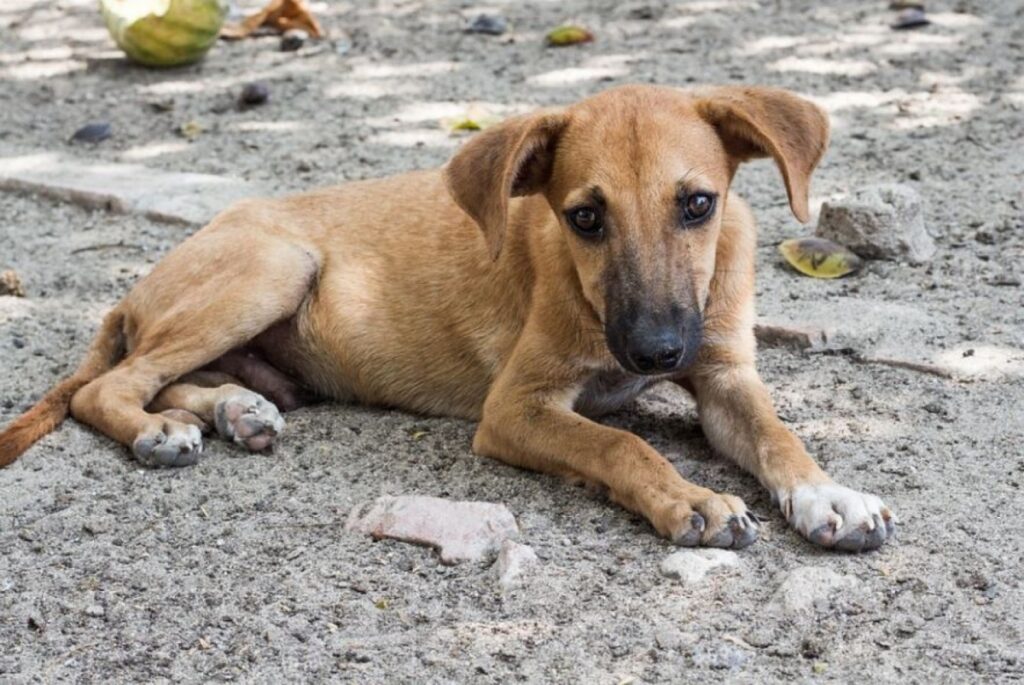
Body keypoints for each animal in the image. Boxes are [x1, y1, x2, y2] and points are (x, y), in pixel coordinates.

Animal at [0, 85, 897, 552]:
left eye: (699, 204)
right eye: (584, 218)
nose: (655, 351)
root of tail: (133, 290)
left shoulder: (724, 376)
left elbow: (779, 435)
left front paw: (830, 494)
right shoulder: (516, 408)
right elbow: (620, 442)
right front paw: (692, 498)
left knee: (178, 378)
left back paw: (236, 410)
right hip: (273, 266)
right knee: (109, 387)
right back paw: (161, 430)